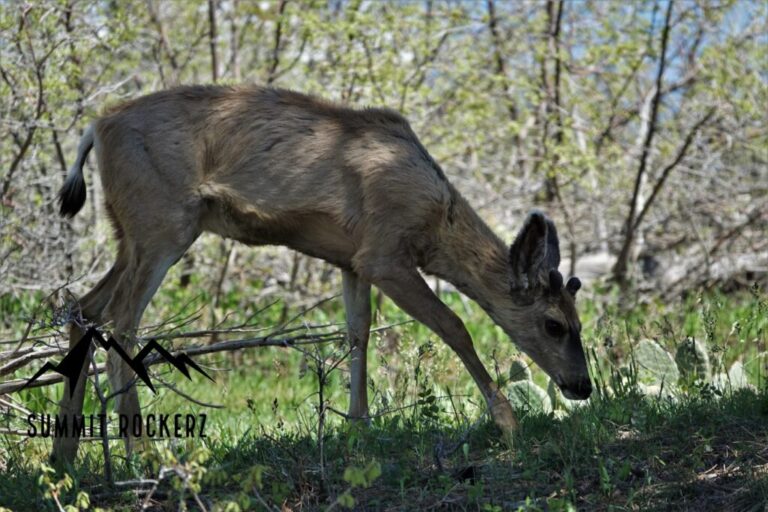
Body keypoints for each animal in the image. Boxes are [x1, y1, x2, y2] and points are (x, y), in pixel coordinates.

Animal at [52, 85, 592, 464]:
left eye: (579, 321)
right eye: (553, 324)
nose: (583, 386)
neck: (436, 223)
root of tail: (96, 127)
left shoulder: (352, 259)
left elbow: (358, 332)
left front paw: (357, 427)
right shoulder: (384, 253)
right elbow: (454, 326)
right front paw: (507, 422)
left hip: (130, 232)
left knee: (82, 307)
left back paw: (66, 454)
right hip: (162, 221)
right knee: (122, 322)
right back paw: (138, 453)